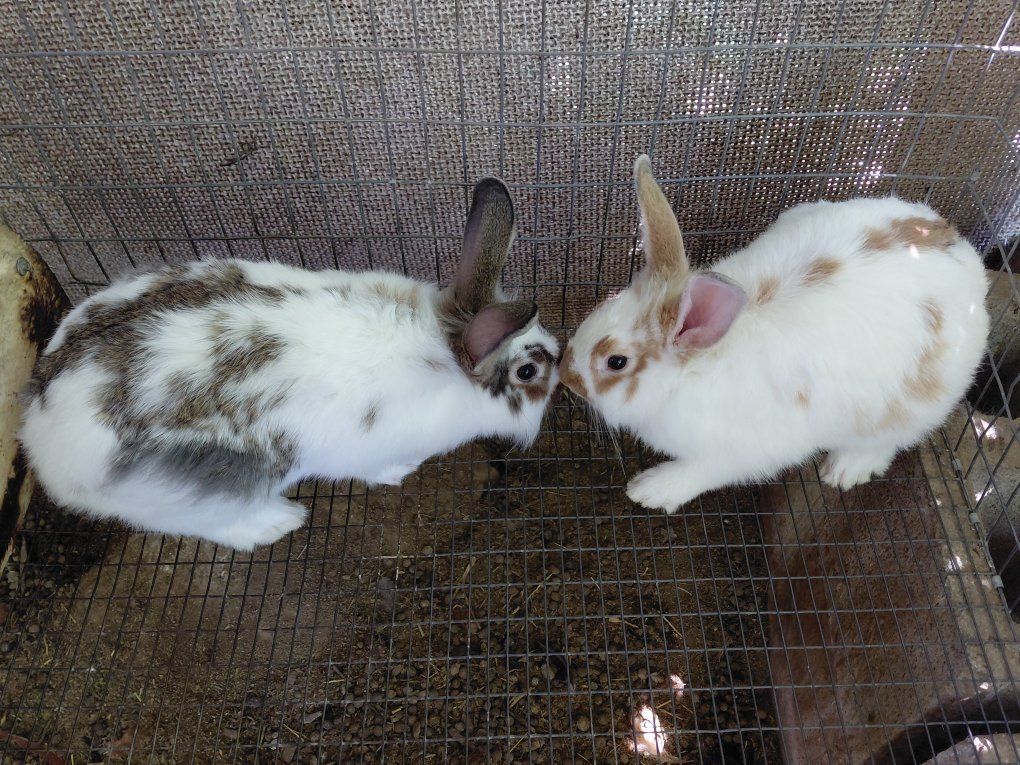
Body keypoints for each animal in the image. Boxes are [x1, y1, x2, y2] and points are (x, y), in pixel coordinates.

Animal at [20, 178, 560, 550]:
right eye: (528, 372)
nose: (560, 360)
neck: (445, 352)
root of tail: (37, 434)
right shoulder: (366, 449)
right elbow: (376, 467)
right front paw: (401, 471)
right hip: (202, 490)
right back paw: (277, 522)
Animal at [559, 155, 989, 513]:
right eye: (601, 307)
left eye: (617, 362)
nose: (565, 374)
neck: (694, 371)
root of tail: (967, 261)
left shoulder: (739, 453)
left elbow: (699, 473)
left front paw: (649, 490)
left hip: (910, 407)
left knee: (889, 440)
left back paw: (845, 469)